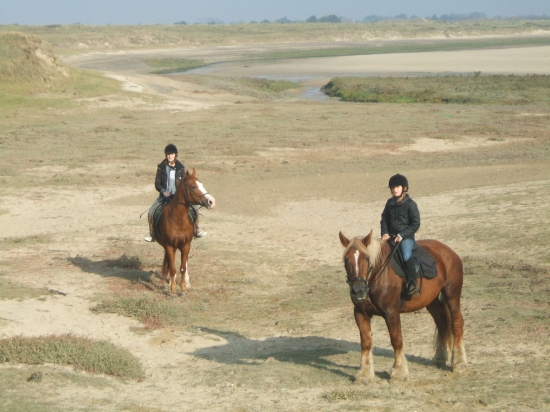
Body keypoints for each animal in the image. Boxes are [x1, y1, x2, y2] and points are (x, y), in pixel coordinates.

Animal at [156, 168, 217, 296]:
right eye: (193, 186)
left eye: (202, 184)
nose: (211, 201)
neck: (178, 219)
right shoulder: (169, 246)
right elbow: (173, 268)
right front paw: (173, 290)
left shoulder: (186, 245)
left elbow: (183, 267)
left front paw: (183, 289)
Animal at [338, 230, 468, 382]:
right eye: (346, 260)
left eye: (366, 258)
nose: (358, 290)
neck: (376, 278)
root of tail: (449, 252)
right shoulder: (360, 313)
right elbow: (366, 342)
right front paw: (364, 374)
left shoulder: (391, 313)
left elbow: (397, 340)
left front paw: (399, 372)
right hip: (431, 301)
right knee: (442, 322)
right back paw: (440, 358)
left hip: (452, 295)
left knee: (456, 323)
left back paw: (459, 363)